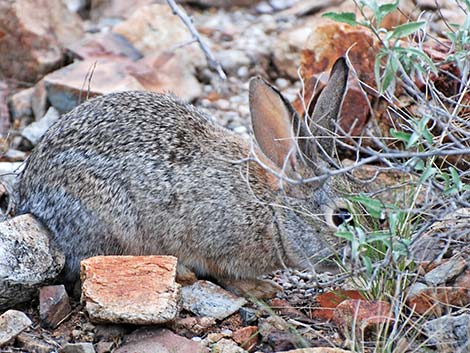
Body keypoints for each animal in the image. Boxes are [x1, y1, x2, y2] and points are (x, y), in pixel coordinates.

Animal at [17, 57, 352, 296]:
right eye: (341, 217)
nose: (364, 253)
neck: (271, 212)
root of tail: (29, 198)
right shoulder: (217, 243)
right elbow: (225, 274)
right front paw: (259, 289)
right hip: (108, 222)